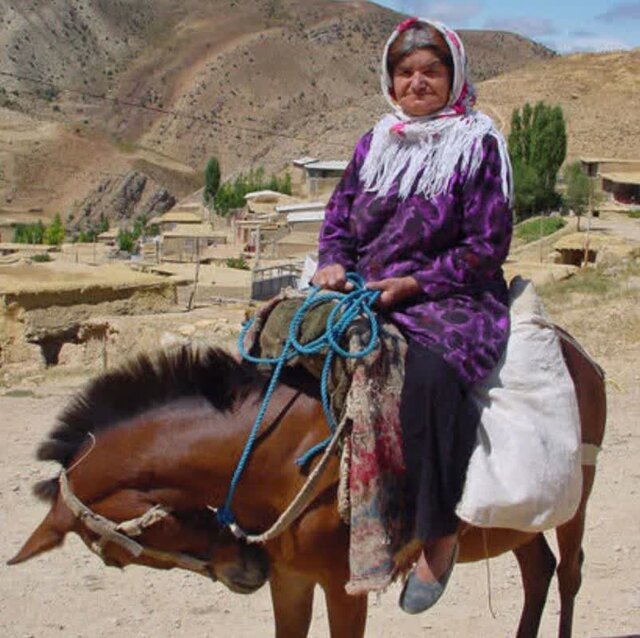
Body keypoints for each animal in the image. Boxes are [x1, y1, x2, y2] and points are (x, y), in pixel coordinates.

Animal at [7, 336, 604, 638]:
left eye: (127, 546)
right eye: (115, 562)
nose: (245, 570)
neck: (280, 456)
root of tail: (577, 352)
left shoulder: (345, 586)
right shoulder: (289, 579)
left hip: (576, 503)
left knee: (570, 574)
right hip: (520, 517)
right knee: (538, 570)